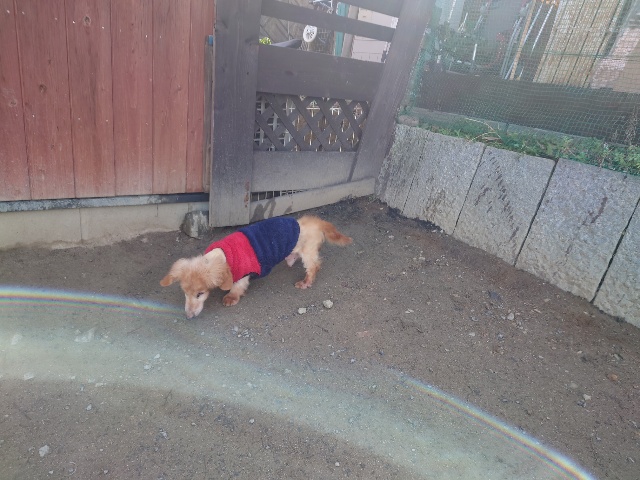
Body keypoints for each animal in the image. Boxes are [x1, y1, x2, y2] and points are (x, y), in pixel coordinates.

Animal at [160, 215, 352, 318]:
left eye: (200, 294)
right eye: (185, 293)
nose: (189, 316)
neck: (223, 256)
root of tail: (316, 222)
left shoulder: (244, 274)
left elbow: (237, 287)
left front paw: (230, 297)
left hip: (308, 253)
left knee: (314, 266)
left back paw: (306, 282)